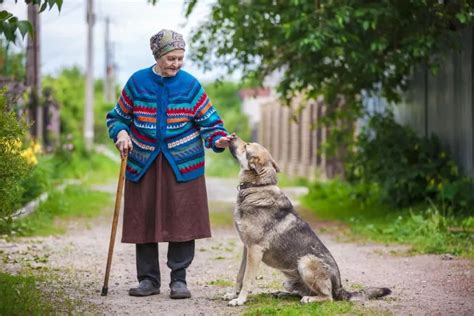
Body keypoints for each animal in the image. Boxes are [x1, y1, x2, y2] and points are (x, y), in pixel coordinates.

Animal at [224, 136, 390, 306]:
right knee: (300, 292)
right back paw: (281, 294)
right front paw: (233, 295)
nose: (232, 136)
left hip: (305, 262)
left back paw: (309, 299)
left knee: (328, 297)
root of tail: (340, 287)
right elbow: (240, 276)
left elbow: (247, 279)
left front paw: (240, 300)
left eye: (246, 146)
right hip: (289, 281)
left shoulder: (255, 250)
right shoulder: (247, 249)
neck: (257, 187)